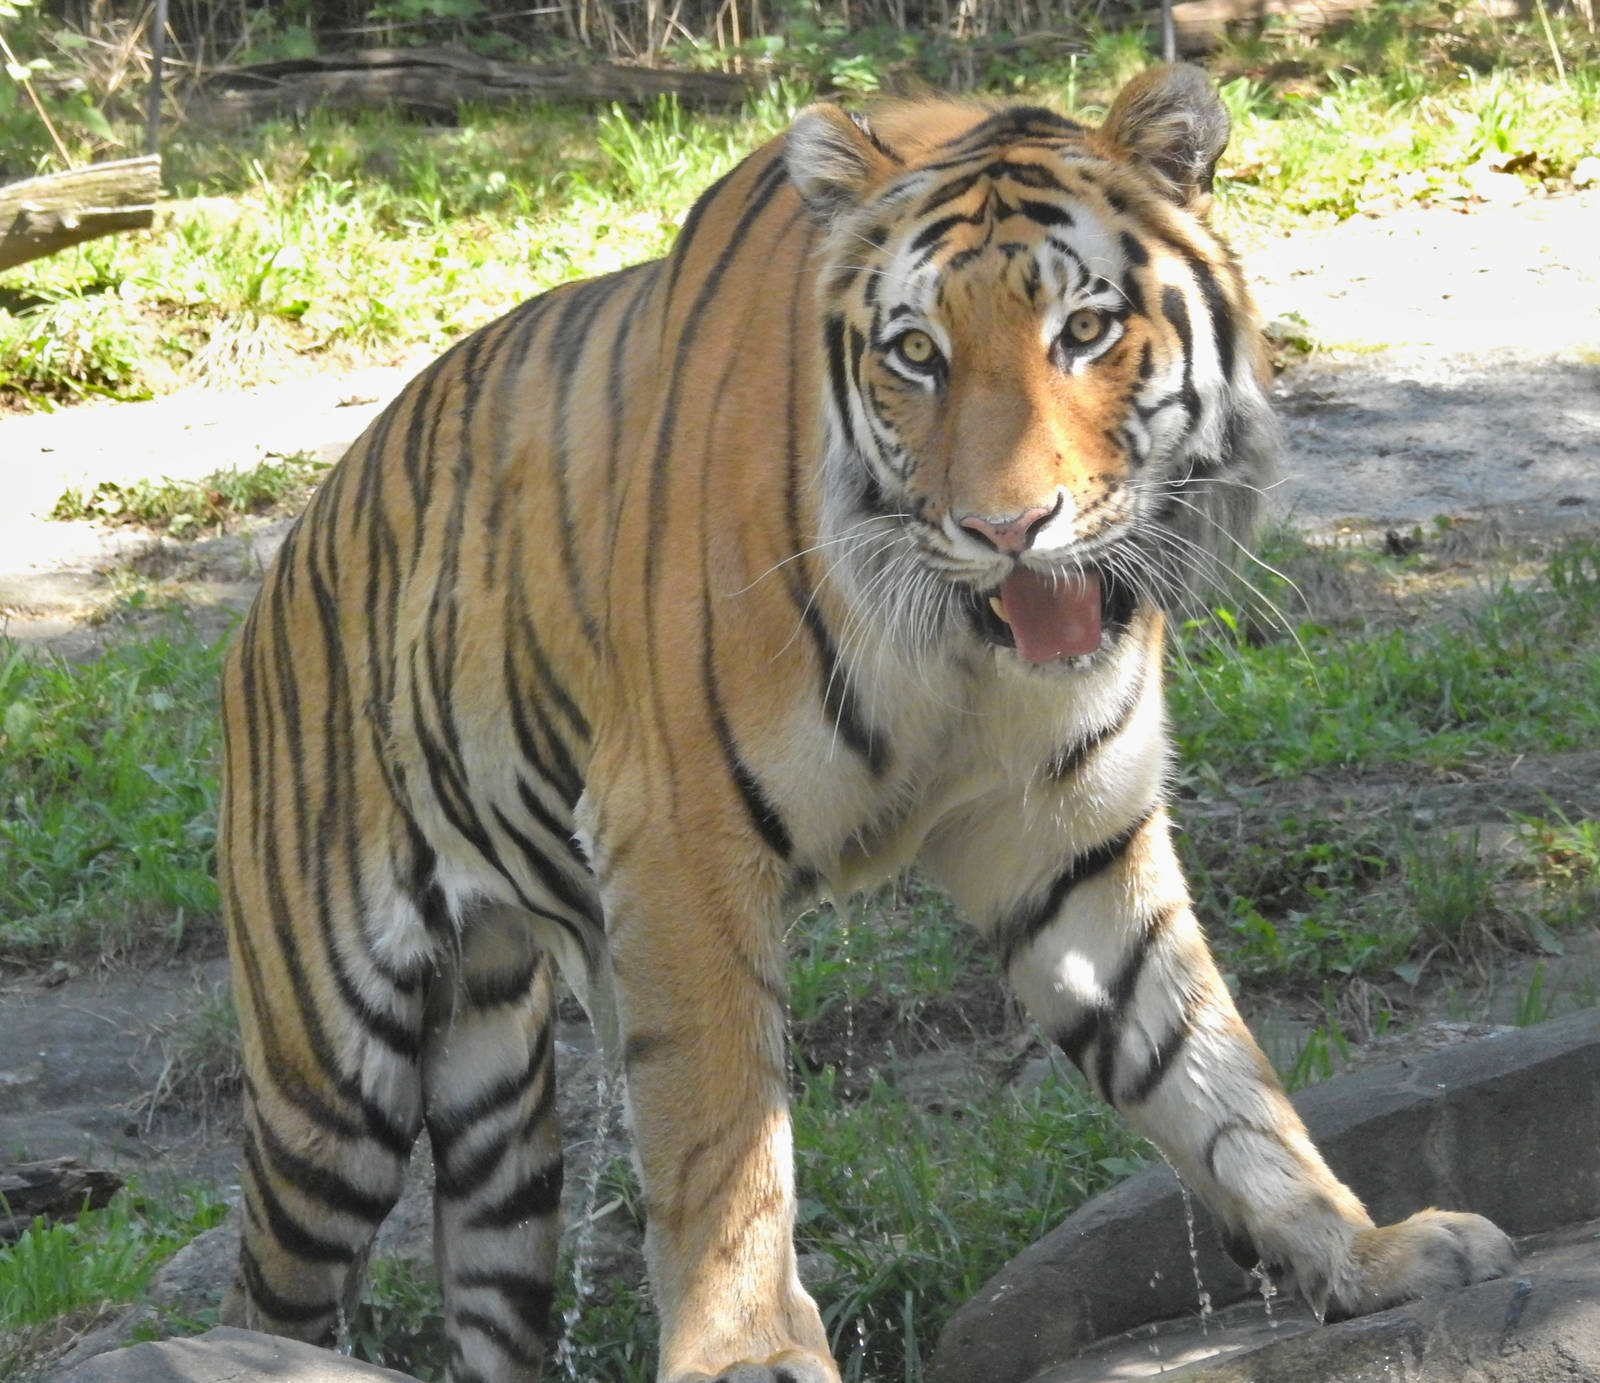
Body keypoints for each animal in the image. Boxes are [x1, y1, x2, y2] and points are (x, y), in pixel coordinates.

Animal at [217, 63, 1515, 1383]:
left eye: (1083, 332)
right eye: (916, 353)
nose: (1007, 530)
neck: (965, 650)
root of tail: (282, 557)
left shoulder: (1069, 834)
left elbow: (1207, 1069)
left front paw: (1363, 1253)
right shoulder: (675, 841)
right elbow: (722, 1136)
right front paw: (747, 1353)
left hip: (495, 1109)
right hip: (332, 1075)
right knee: (271, 1286)